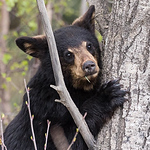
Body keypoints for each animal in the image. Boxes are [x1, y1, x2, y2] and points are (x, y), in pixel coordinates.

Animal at [0, 4, 127, 150]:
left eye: (89, 45)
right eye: (68, 54)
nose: (89, 65)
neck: (77, 87)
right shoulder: (44, 109)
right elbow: (68, 138)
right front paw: (108, 95)